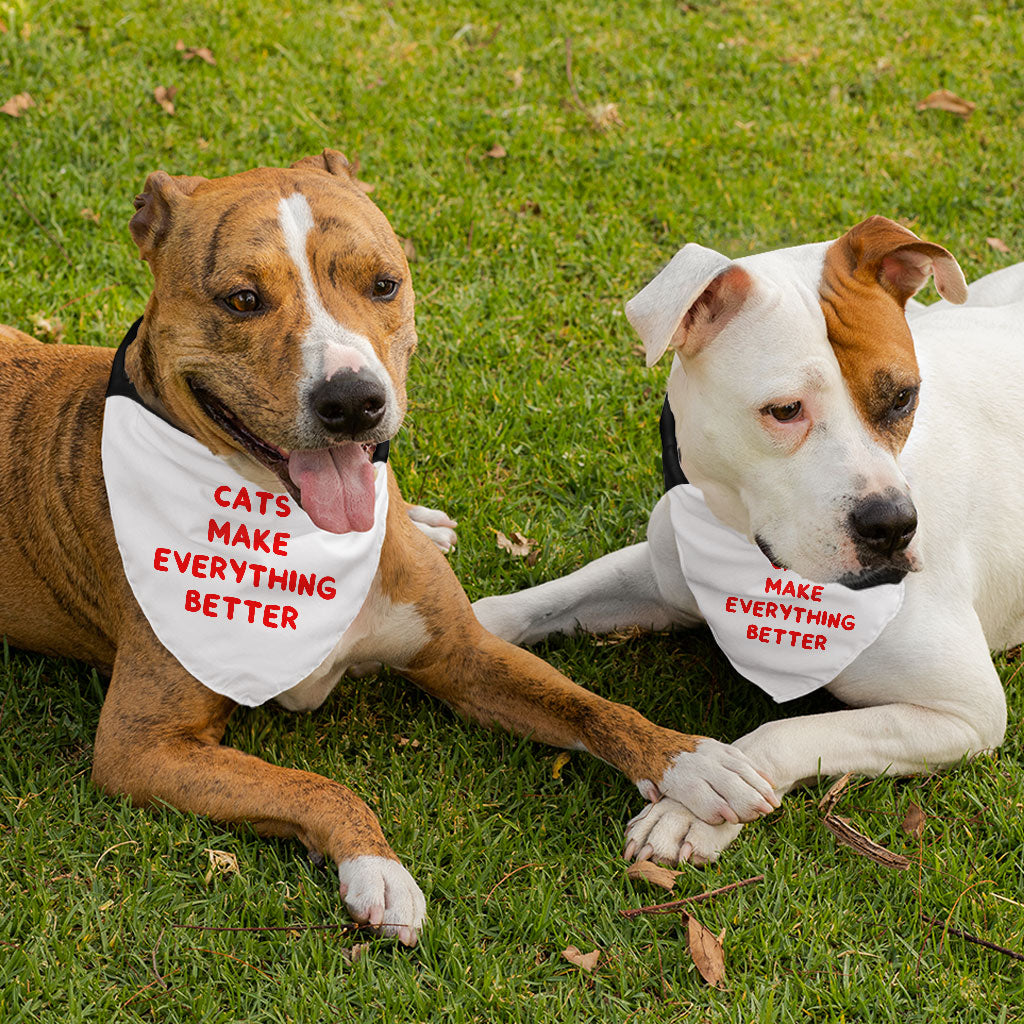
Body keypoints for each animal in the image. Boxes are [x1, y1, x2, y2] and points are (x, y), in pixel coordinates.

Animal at [475, 216, 1019, 864]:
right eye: (784, 410)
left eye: (903, 398)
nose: (892, 525)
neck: (746, 550)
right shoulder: (663, 575)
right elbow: (541, 601)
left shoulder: (965, 712)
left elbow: (786, 732)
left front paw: (690, 807)